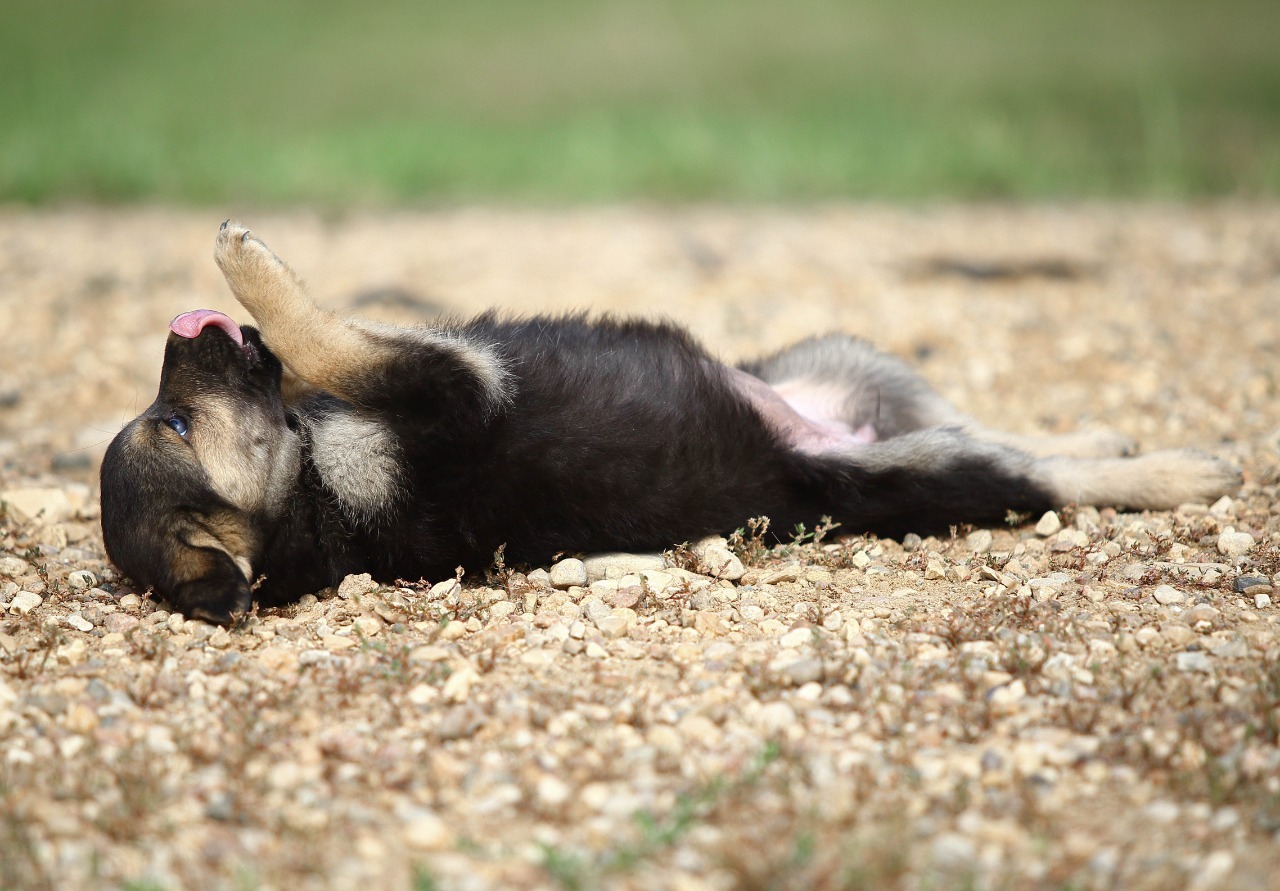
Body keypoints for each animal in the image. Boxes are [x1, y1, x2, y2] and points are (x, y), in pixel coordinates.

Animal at [99, 222, 1239, 627]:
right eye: (175, 422)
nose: (177, 334)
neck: (319, 494)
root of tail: (829, 437)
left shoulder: (438, 374)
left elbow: (322, 344)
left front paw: (245, 269)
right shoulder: (453, 384)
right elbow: (327, 341)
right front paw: (249, 267)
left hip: (846, 360)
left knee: (1010, 429)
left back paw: (1108, 434)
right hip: (908, 470)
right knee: (1031, 474)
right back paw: (1182, 470)